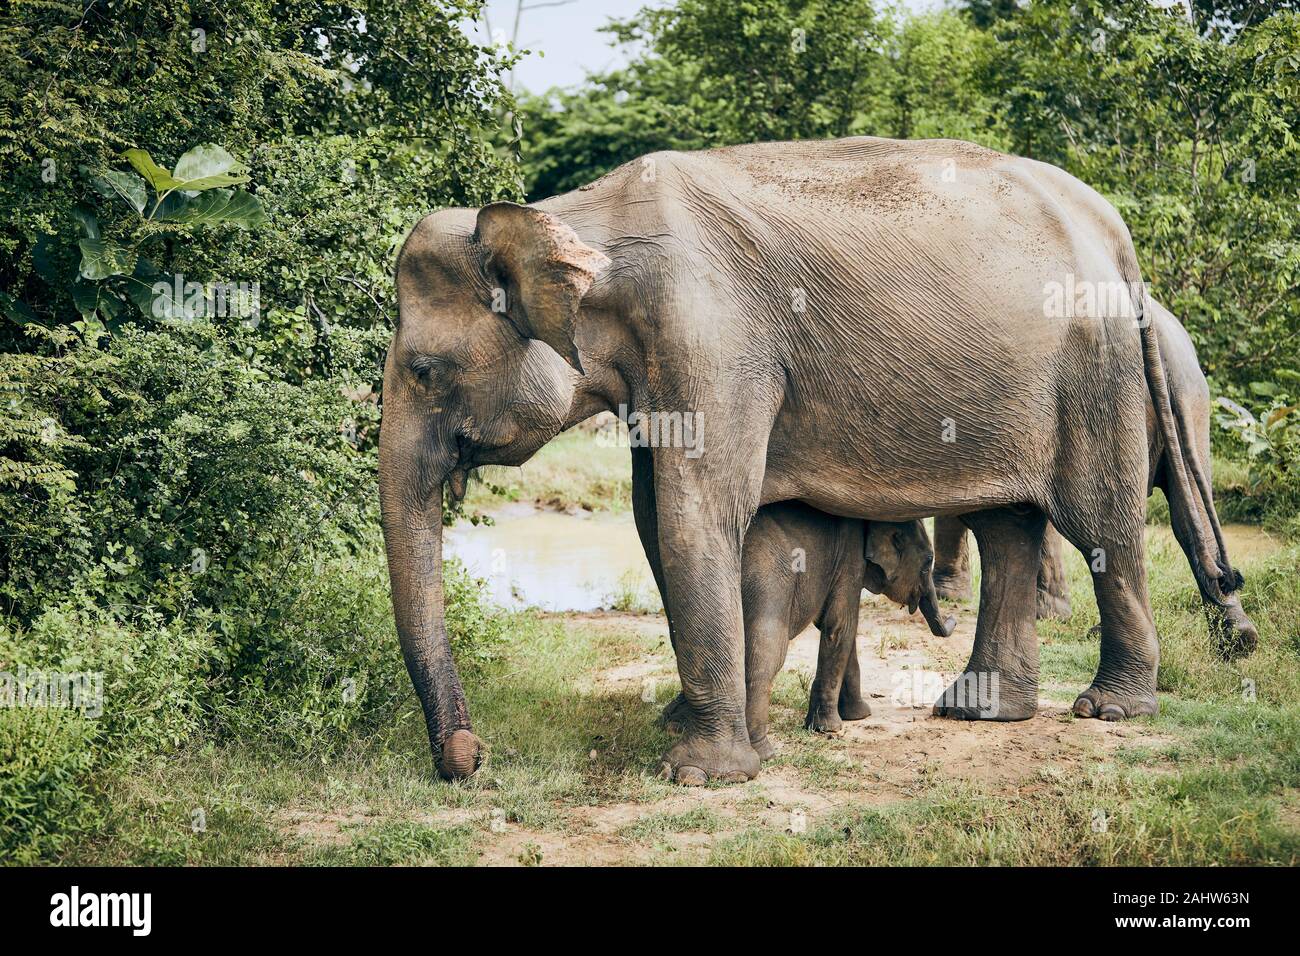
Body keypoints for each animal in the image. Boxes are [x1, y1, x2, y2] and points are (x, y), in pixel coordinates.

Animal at [743, 502, 956, 764]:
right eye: (928, 563)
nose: (953, 617)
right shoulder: (849, 557)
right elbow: (841, 625)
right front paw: (830, 728)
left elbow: (838, 628)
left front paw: (858, 715)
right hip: (767, 583)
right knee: (766, 654)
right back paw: (763, 753)